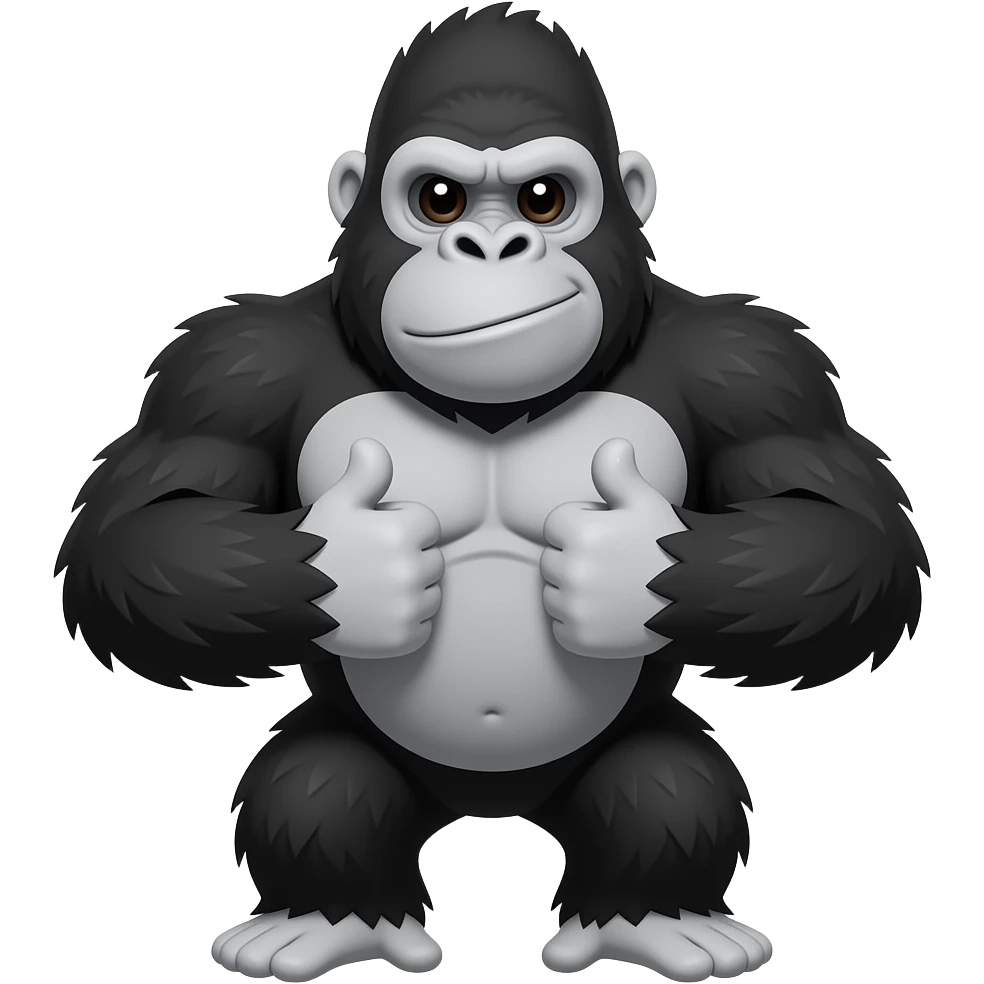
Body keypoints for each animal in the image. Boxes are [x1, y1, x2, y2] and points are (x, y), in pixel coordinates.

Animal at [53, 5, 930, 981]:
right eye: (439, 200)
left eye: (544, 200)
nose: (491, 245)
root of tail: (491, 802)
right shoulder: (230, 365)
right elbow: (148, 528)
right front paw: (361, 567)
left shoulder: (753, 364)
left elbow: (835, 528)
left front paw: (622, 567)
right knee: (320, 786)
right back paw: (328, 917)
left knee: (664, 785)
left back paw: (653, 917)